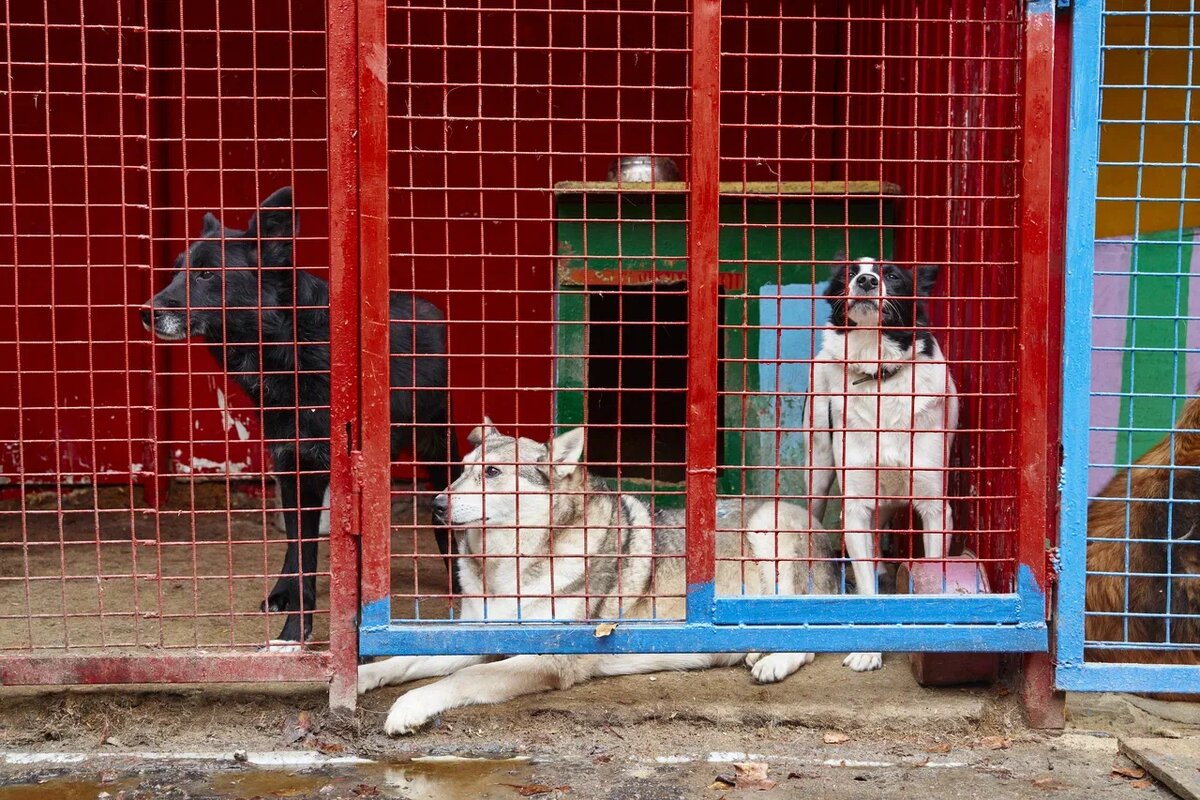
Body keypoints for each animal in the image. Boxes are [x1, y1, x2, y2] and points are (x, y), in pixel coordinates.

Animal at [141, 185, 458, 642]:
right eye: (176, 272)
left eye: (206, 275)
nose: (146, 311)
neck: (283, 349)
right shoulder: (291, 464)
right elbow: (301, 552)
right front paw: (295, 621)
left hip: (436, 442)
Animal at [360, 422, 840, 734]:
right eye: (461, 469)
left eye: (492, 473)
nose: (435, 505)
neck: (505, 567)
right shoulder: (473, 637)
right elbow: (401, 660)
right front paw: (362, 677)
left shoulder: (549, 659)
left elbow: (460, 679)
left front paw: (408, 707)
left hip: (771, 530)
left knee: (809, 638)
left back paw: (772, 659)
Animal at [801, 256, 960, 671]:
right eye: (849, 273)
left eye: (892, 275)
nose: (867, 281)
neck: (879, 379)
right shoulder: (855, 509)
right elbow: (866, 587)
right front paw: (868, 649)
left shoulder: (936, 510)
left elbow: (934, 571)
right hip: (818, 471)